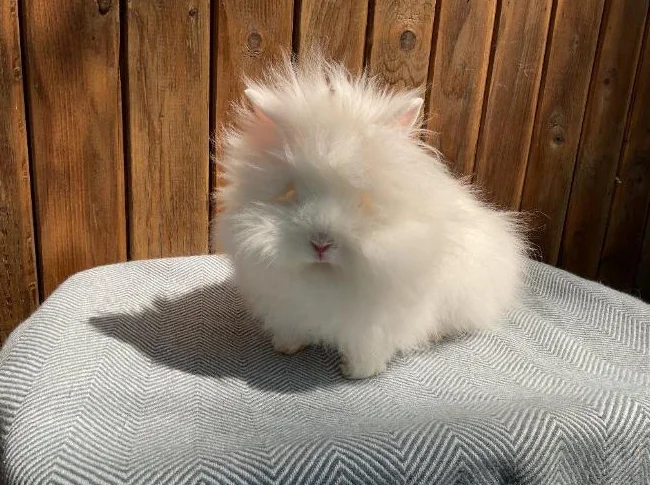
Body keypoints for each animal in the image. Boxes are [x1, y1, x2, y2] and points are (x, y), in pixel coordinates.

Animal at [213, 53, 528, 379]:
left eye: (363, 200)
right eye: (290, 193)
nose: (321, 244)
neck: (325, 280)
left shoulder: (378, 323)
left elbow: (368, 347)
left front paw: (355, 372)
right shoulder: (287, 306)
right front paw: (287, 347)